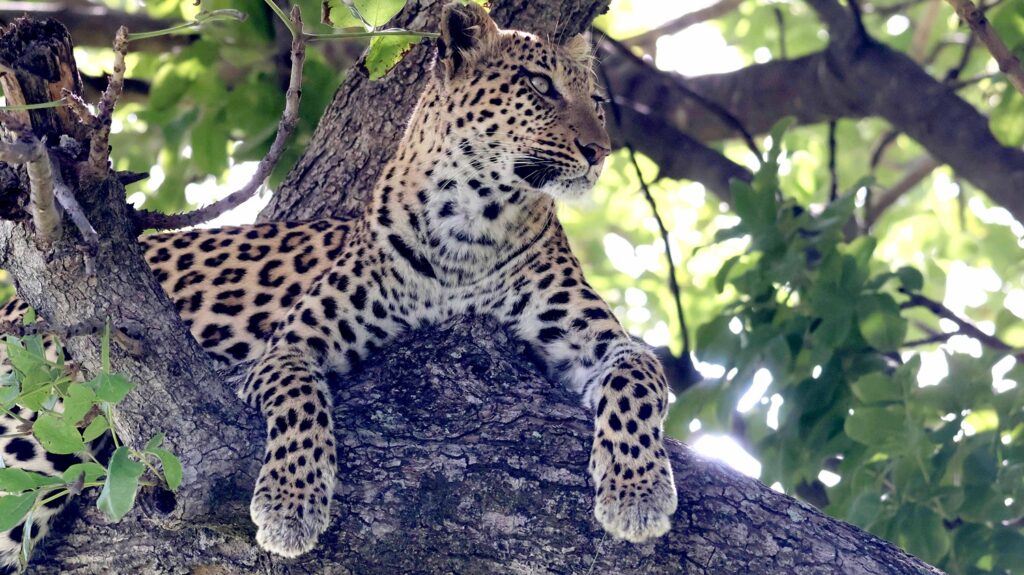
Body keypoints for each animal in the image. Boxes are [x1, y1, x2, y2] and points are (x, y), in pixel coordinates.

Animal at [0, 2, 677, 566]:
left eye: (597, 98)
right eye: (539, 86)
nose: (600, 151)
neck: (473, 223)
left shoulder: (600, 343)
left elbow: (638, 377)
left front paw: (637, 490)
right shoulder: (290, 347)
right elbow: (299, 399)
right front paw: (290, 504)